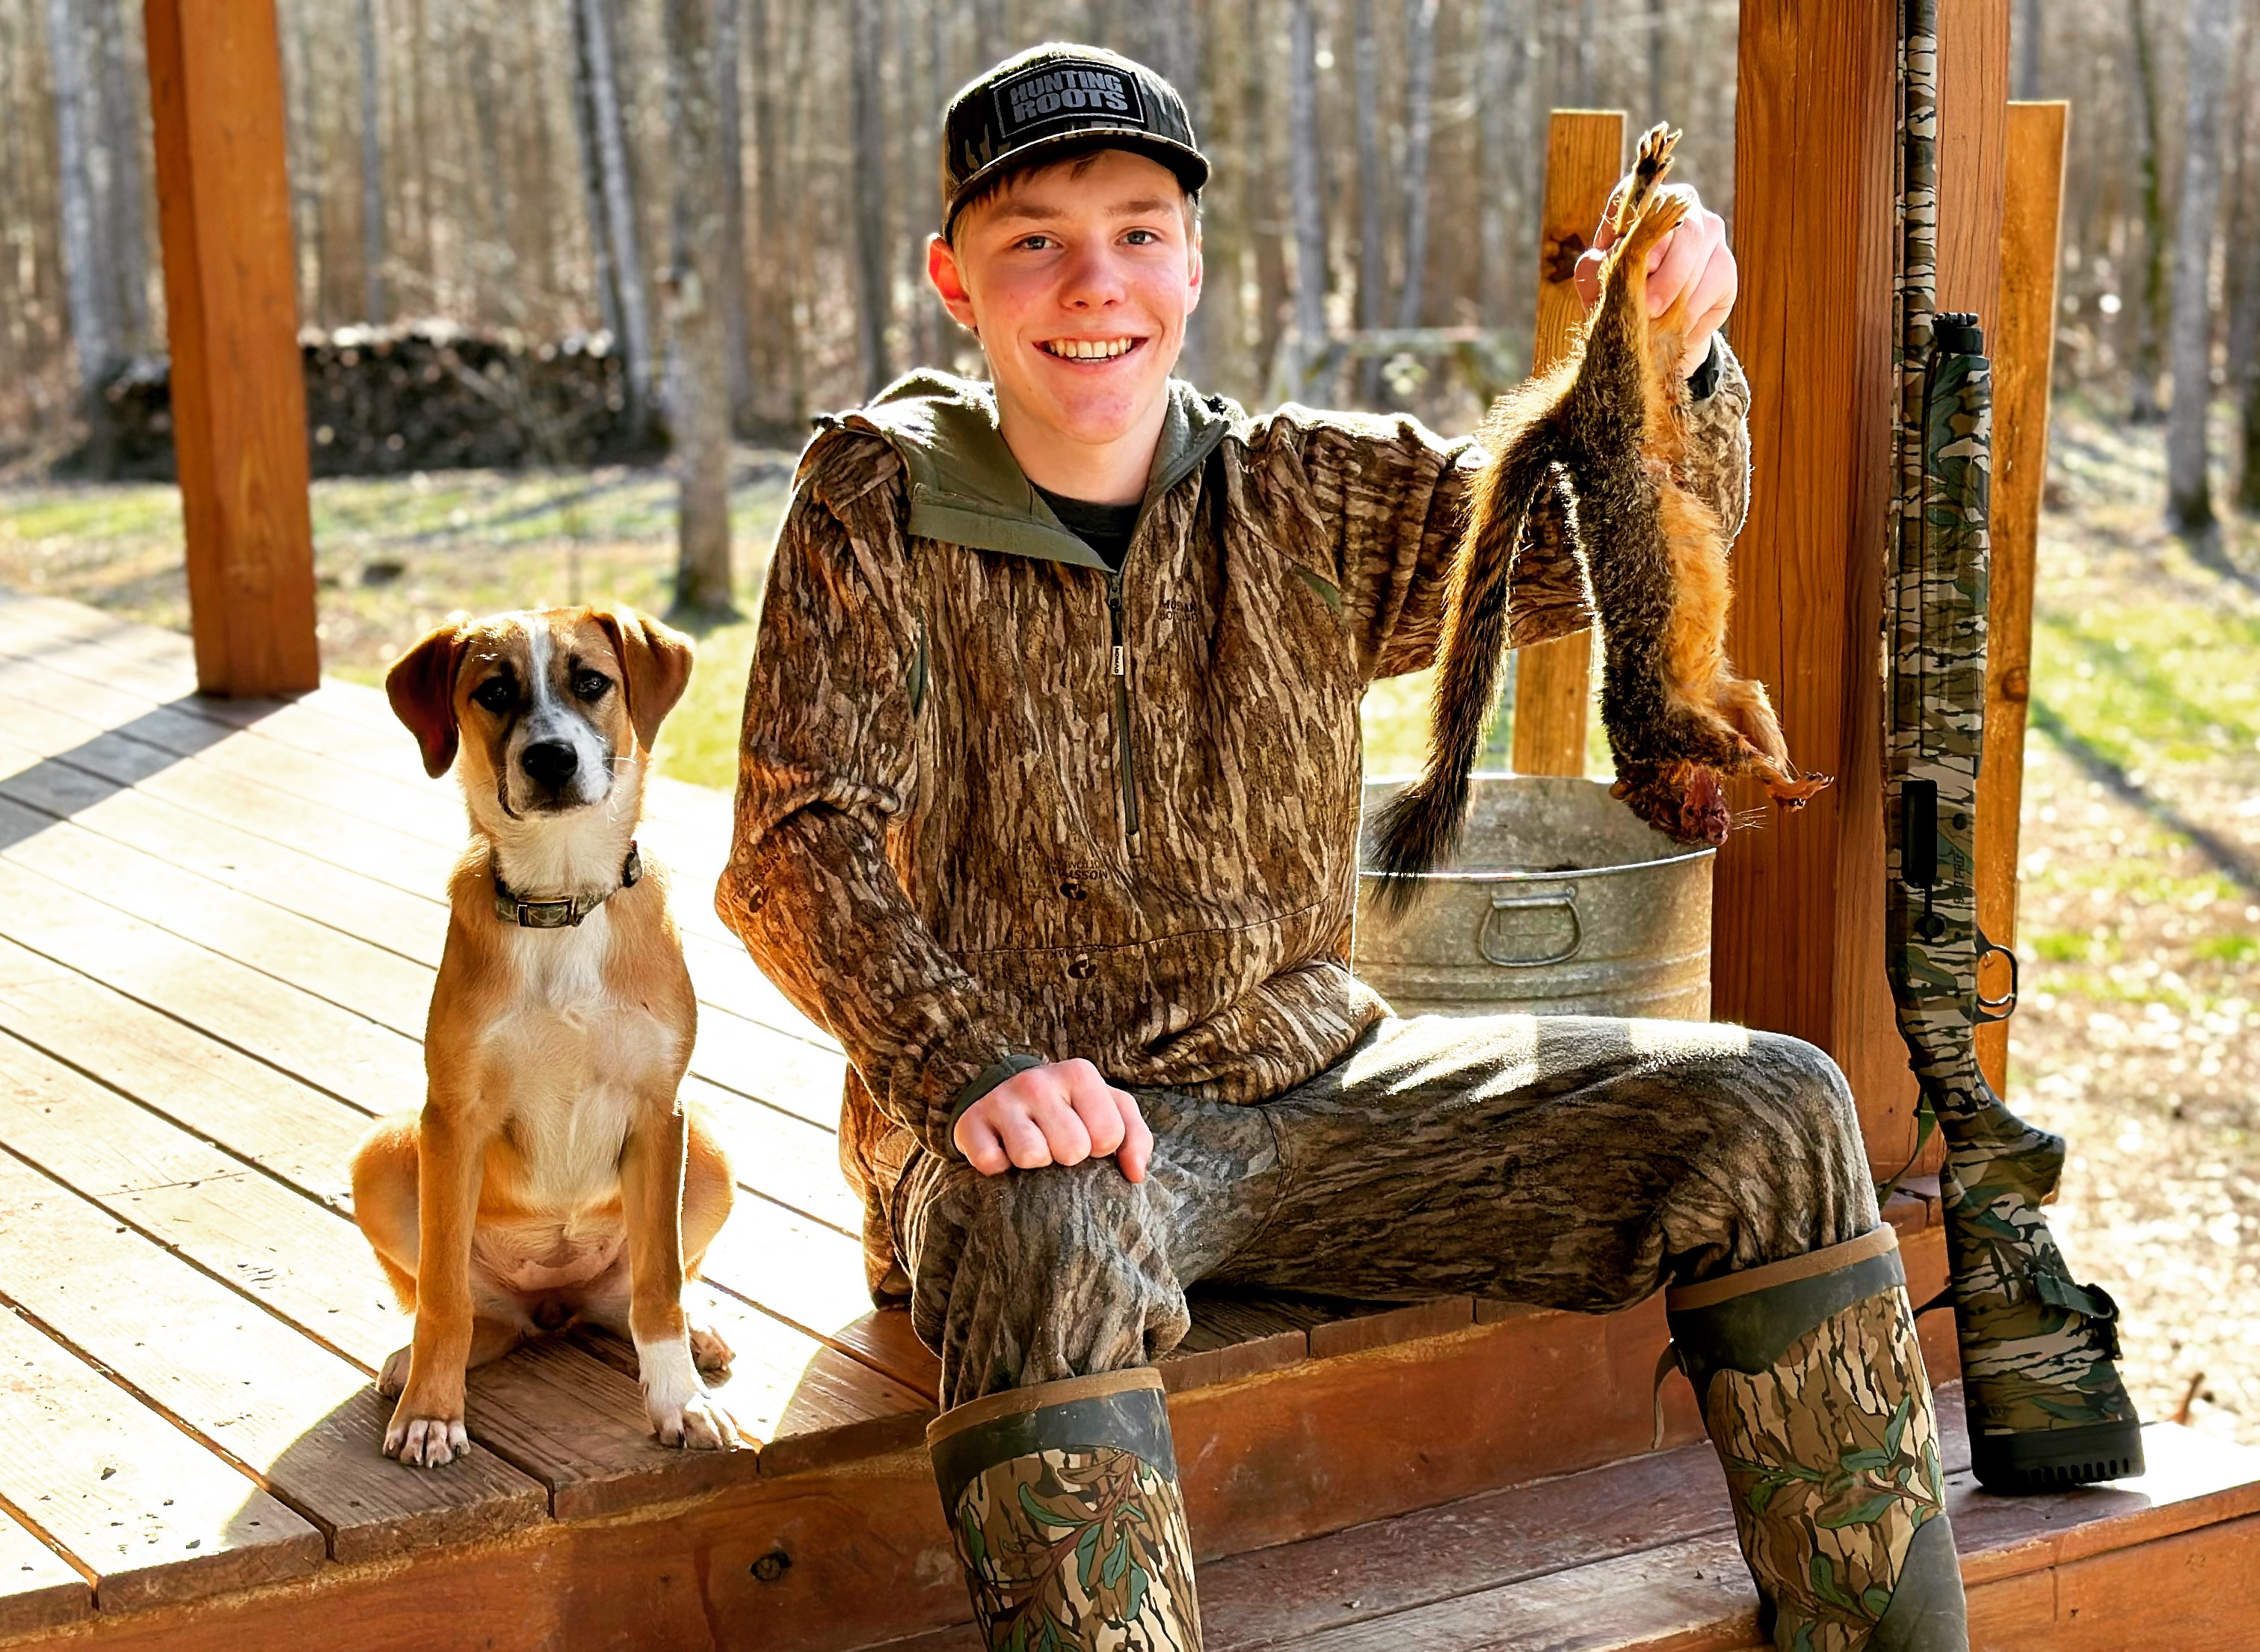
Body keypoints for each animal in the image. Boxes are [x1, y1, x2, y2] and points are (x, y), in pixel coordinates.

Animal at [352, 605, 736, 1464]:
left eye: (590, 682)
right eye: (493, 692)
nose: (551, 758)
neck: (562, 902)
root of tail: (556, 1305)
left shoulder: (660, 1109)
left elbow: (661, 1283)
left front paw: (680, 1403)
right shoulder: (451, 1116)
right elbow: (441, 1297)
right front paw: (431, 1412)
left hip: (709, 1148)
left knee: (640, 1293)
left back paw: (697, 1334)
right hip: (386, 1148)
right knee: (466, 1306)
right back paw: (411, 1363)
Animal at [1364, 126, 1826, 890]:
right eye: (1661, 812)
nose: (1712, 829)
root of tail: (1573, 414)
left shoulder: (1687, 706)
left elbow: (1744, 726)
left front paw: (1780, 776)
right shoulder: (1693, 705)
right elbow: (1750, 720)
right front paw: (1782, 778)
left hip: (1626, 377)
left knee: (1621, 295)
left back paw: (1641, 215)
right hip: (1634, 376)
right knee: (1631, 302)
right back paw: (1644, 210)